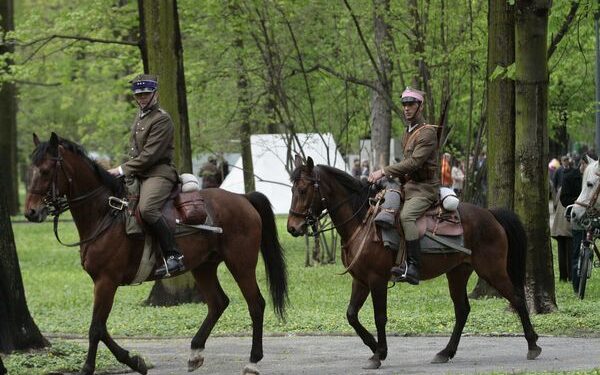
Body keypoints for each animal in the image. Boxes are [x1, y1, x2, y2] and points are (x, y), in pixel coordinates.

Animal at [27, 133, 290, 375]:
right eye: (31, 169)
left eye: (46, 170)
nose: (31, 212)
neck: (107, 212)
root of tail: (243, 198)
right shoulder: (101, 283)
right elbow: (101, 328)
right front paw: (134, 361)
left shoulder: (106, 281)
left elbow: (96, 328)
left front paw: (89, 367)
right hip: (203, 266)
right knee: (218, 303)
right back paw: (195, 352)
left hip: (241, 264)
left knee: (256, 304)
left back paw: (252, 362)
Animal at [286, 157, 540, 372]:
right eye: (292, 189)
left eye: (303, 190)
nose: (292, 227)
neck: (363, 223)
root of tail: (490, 214)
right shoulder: (360, 281)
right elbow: (351, 315)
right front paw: (374, 347)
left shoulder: (376, 280)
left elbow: (380, 316)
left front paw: (379, 353)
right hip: (458, 272)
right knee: (462, 310)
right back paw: (445, 352)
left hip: (492, 270)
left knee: (517, 298)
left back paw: (533, 345)